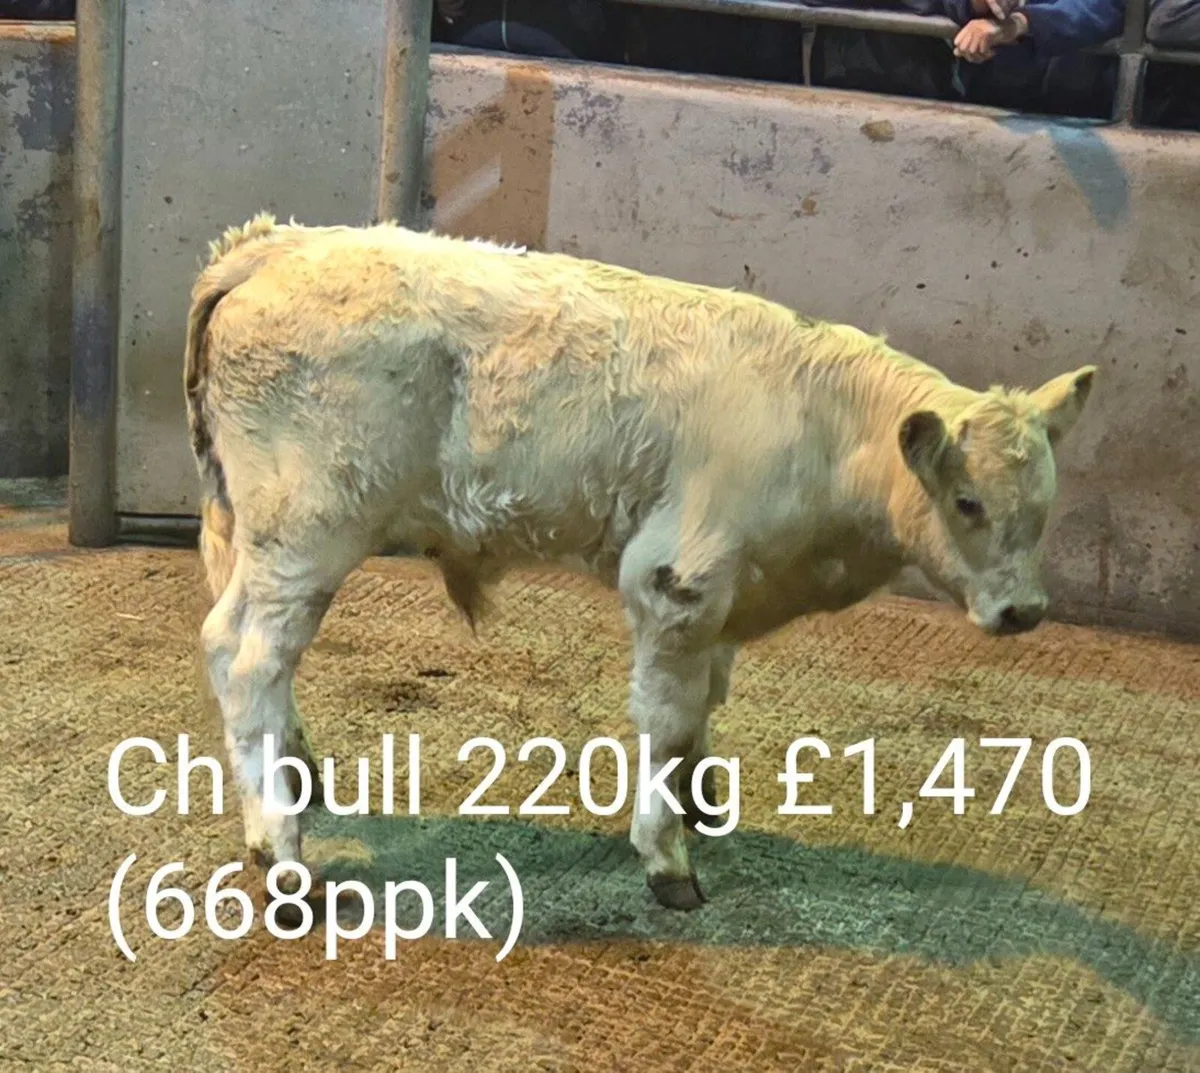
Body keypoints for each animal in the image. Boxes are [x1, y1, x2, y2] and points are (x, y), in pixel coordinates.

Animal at [185, 213, 1096, 911]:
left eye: (1047, 504)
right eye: (967, 502)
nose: (1024, 611)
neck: (823, 423)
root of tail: (278, 243)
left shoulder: (726, 590)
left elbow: (703, 704)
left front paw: (701, 800)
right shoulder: (677, 578)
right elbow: (667, 716)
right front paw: (666, 854)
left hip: (249, 530)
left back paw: (296, 773)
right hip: (309, 531)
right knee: (249, 656)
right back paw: (281, 850)